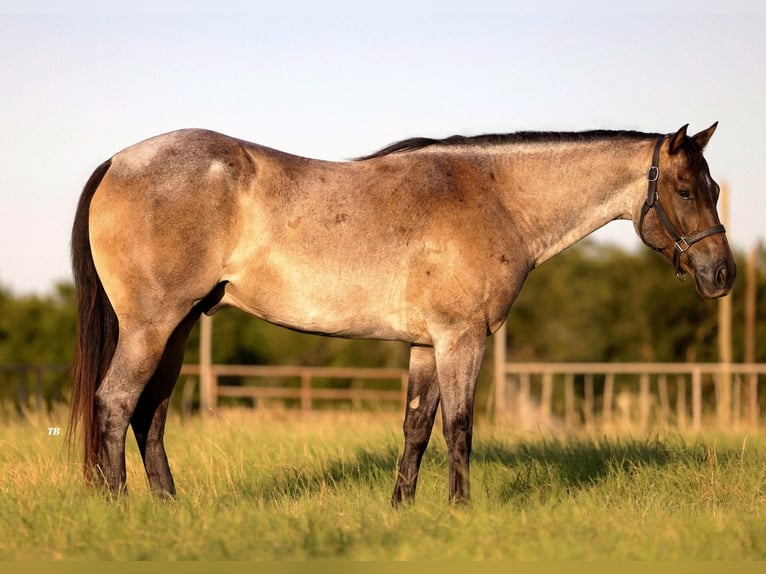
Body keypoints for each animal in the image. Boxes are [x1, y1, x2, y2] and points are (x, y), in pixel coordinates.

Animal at [70, 121, 736, 504]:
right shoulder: (462, 339)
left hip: (179, 329)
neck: (494, 195)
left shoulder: (425, 345)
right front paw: (461, 511)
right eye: (684, 191)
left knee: (150, 416)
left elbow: (416, 428)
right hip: (153, 327)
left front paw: (403, 510)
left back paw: (168, 509)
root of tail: (118, 161)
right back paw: (118, 509)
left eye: (714, 189)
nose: (722, 275)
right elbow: (459, 428)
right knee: (115, 404)